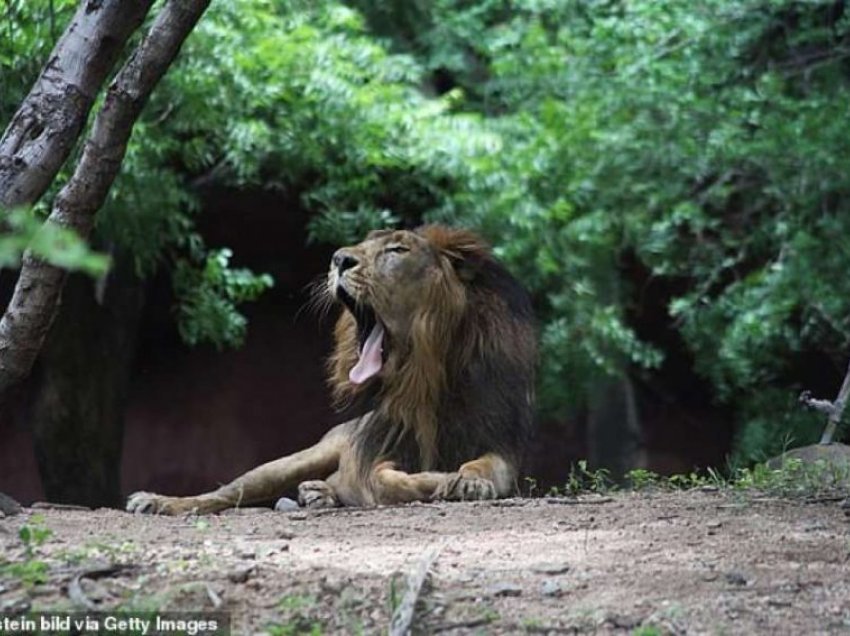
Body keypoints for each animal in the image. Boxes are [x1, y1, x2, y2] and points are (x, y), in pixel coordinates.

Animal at [126, 226, 532, 516]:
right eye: (366, 242)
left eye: (397, 250)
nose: (338, 259)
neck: (423, 378)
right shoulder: (376, 453)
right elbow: (387, 480)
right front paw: (442, 479)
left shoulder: (500, 443)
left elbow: (485, 466)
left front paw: (468, 481)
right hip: (294, 461)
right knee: (227, 493)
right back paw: (158, 502)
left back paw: (319, 493)